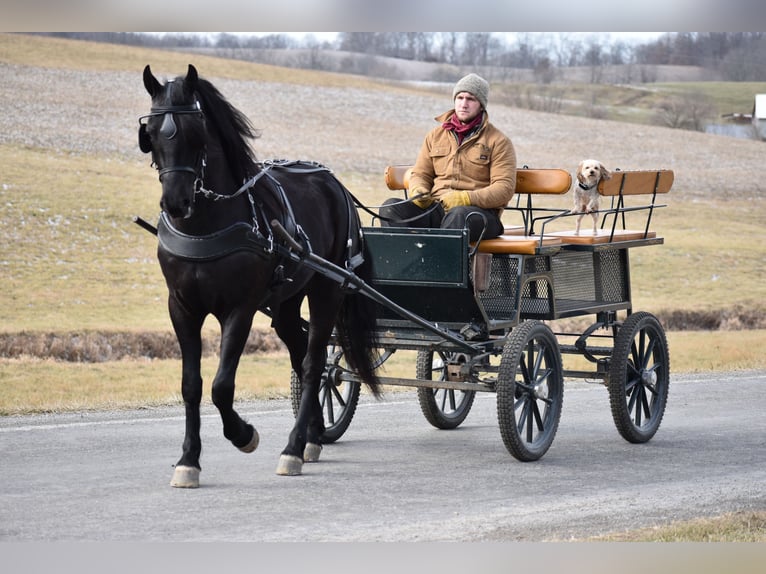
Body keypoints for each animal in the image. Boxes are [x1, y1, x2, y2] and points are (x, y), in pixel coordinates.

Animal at [138, 65, 380, 488]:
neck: (205, 225)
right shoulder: (181, 308)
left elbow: (221, 386)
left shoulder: (241, 308)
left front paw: (244, 434)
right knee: (302, 355)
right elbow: (191, 385)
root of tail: (334, 184)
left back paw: (294, 449)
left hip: (327, 290)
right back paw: (313, 435)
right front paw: (188, 460)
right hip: (286, 302)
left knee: (315, 364)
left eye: (196, 132)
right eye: (149, 134)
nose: (176, 203)